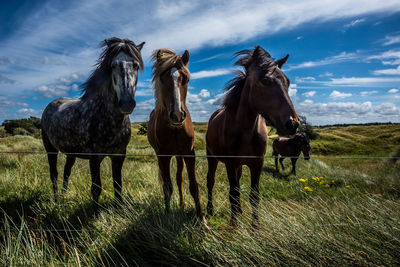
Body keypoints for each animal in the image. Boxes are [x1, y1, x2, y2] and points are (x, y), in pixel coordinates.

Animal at [40, 36, 146, 202]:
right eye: (113, 65)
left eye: (135, 65)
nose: (127, 103)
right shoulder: (95, 158)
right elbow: (96, 189)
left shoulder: (119, 155)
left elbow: (118, 187)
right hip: (50, 148)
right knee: (54, 174)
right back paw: (57, 200)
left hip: (70, 152)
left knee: (66, 171)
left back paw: (64, 197)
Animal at [147, 48, 202, 218]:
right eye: (162, 78)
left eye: (186, 79)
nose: (177, 115)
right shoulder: (163, 156)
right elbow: (167, 187)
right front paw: (167, 214)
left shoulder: (189, 153)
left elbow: (193, 186)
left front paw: (201, 218)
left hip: (179, 155)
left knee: (179, 178)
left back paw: (182, 204)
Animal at [208, 46, 298, 226]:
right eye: (265, 80)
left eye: (287, 82)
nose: (292, 124)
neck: (246, 131)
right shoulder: (231, 164)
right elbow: (233, 193)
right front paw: (234, 224)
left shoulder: (257, 164)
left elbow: (254, 195)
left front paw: (255, 226)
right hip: (212, 159)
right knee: (210, 182)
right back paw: (210, 210)